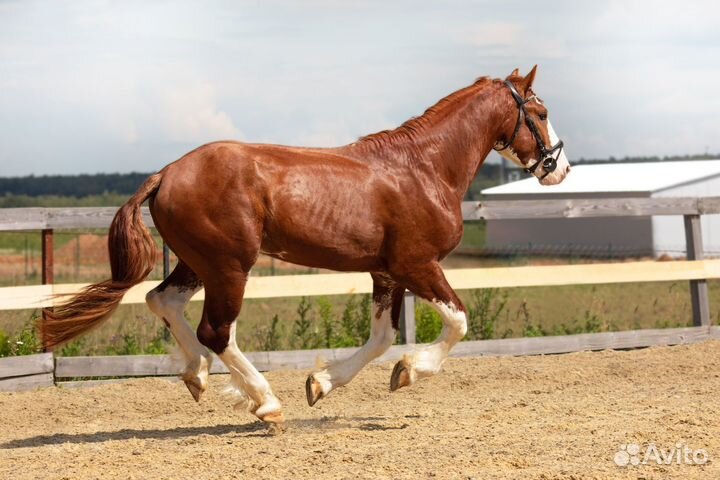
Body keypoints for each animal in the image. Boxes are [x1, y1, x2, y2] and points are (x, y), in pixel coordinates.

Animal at [41, 66, 570, 430]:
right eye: (541, 113)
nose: (559, 167)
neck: (423, 168)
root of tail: (167, 172)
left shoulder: (386, 272)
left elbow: (382, 337)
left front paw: (322, 383)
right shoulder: (417, 264)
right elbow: (458, 320)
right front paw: (410, 371)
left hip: (198, 262)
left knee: (162, 301)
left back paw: (198, 376)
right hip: (229, 266)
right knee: (216, 329)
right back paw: (265, 402)